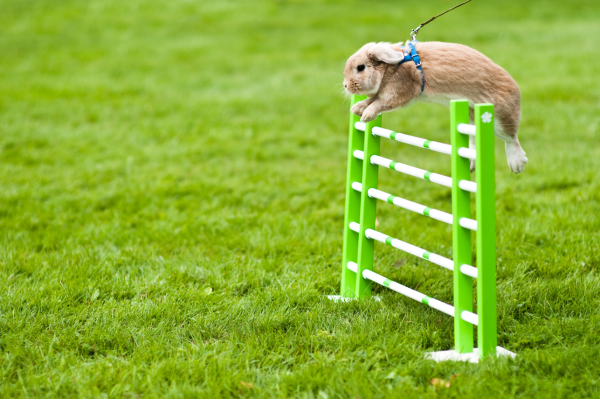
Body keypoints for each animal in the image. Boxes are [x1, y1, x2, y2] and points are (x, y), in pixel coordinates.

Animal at [344, 41, 528, 174]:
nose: (346, 86)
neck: (393, 66)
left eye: (360, 67)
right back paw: (471, 164)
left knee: (511, 139)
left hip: (498, 119)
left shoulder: (398, 93)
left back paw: (517, 164)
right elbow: (371, 99)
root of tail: (515, 88)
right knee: (473, 143)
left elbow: (378, 103)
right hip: (470, 119)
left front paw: (366, 115)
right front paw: (357, 109)